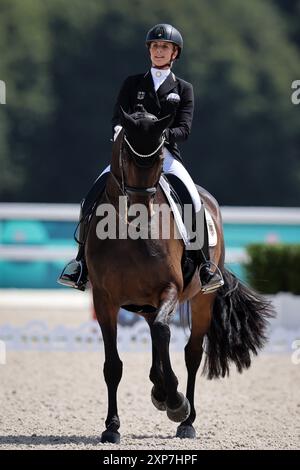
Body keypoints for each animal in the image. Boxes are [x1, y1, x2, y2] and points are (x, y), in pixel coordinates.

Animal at [86, 107, 272, 444]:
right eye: (127, 155)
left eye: (160, 157)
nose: (139, 211)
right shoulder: (104, 299)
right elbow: (112, 365)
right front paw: (111, 426)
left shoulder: (170, 288)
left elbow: (163, 332)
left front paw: (176, 402)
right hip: (144, 303)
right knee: (154, 335)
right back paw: (159, 389)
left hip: (201, 300)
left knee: (190, 352)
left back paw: (186, 418)